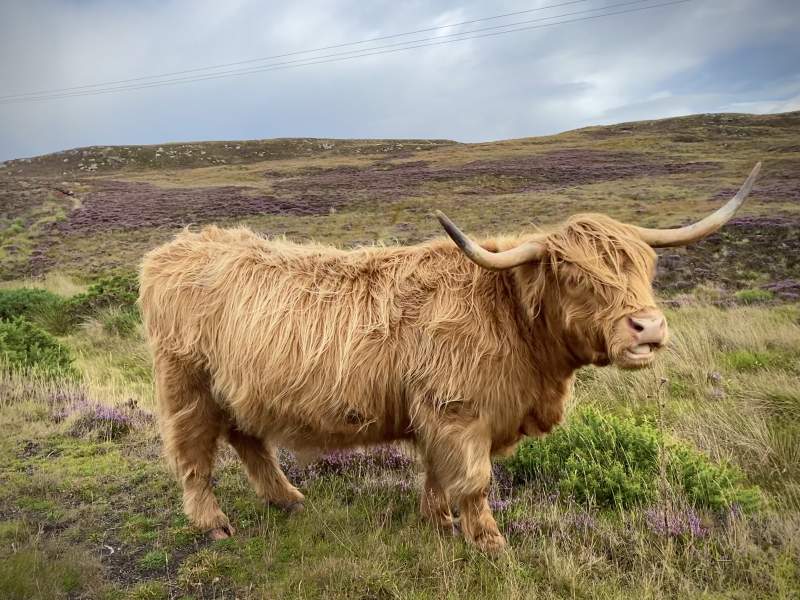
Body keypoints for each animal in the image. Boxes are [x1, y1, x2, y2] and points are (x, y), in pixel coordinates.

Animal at [139, 162, 764, 552]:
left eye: (645, 266)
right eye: (574, 276)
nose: (648, 327)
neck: (510, 318)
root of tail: (173, 249)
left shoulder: (437, 416)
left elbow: (439, 475)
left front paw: (437, 520)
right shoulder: (459, 412)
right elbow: (474, 479)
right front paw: (488, 540)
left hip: (236, 389)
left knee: (247, 438)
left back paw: (288, 499)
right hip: (186, 383)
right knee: (193, 455)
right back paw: (216, 524)